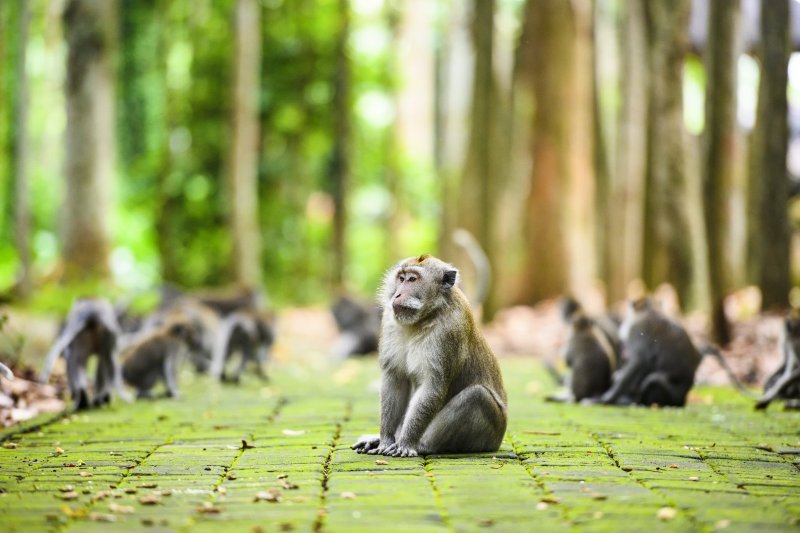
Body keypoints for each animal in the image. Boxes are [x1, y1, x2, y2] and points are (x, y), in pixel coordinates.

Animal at [351, 255, 508, 457]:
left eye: (413, 279)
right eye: (401, 278)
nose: (397, 295)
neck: (425, 317)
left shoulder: (448, 331)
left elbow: (433, 386)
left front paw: (406, 443)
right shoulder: (389, 320)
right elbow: (395, 379)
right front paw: (385, 440)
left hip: (490, 433)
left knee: (477, 396)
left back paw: (422, 445)